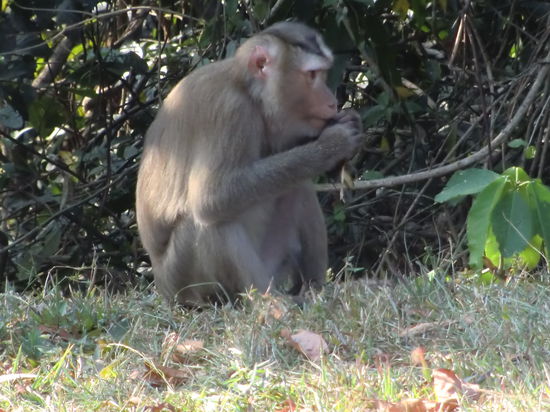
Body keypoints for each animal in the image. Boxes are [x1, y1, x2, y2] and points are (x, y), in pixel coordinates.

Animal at [136, 22, 364, 306]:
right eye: (312, 75)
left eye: (322, 74)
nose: (332, 101)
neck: (248, 90)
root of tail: (162, 287)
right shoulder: (231, 112)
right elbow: (214, 198)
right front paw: (333, 145)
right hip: (186, 281)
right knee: (212, 220)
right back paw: (270, 303)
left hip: (272, 262)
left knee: (296, 186)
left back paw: (313, 290)